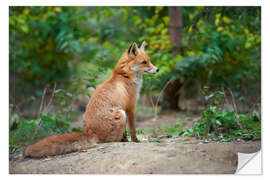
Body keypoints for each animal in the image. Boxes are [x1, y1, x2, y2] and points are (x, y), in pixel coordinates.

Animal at [24, 41, 159, 158]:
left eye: (149, 61)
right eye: (144, 62)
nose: (157, 69)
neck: (125, 76)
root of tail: (90, 133)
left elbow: (127, 132)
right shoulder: (130, 108)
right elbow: (133, 130)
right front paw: (136, 141)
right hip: (121, 114)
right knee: (112, 140)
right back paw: (122, 141)